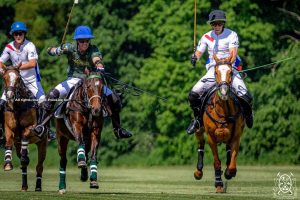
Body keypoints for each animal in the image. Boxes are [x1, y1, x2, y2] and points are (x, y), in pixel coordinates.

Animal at [193, 54, 245, 192]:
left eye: (231, 72)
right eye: (216, 72)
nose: (223, 91)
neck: (223, 111)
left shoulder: (236, 137)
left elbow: (232, 163)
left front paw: (228, 172)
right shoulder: (211, 138)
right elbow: (216, 162)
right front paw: (218, 184)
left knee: (228, 149)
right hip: (199, 129)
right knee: (201, 143)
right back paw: (198, 172)